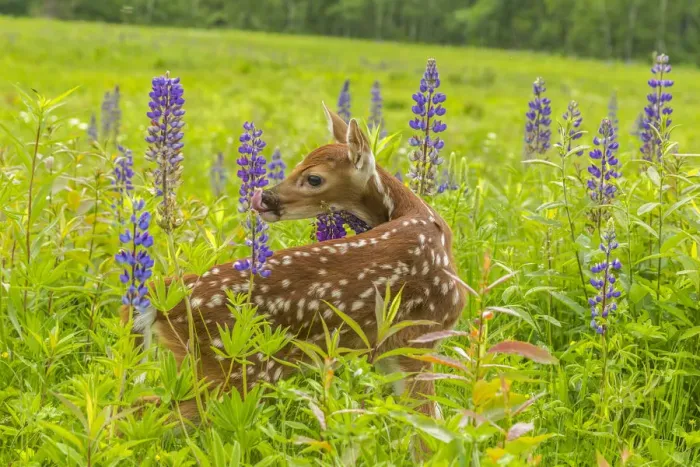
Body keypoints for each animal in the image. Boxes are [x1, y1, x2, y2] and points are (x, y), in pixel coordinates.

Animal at [129, 103, 467, 421]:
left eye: (313, 177)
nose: (263, 198)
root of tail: (164, 291)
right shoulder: (421, 336)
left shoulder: (395, 351)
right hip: (232, 366)